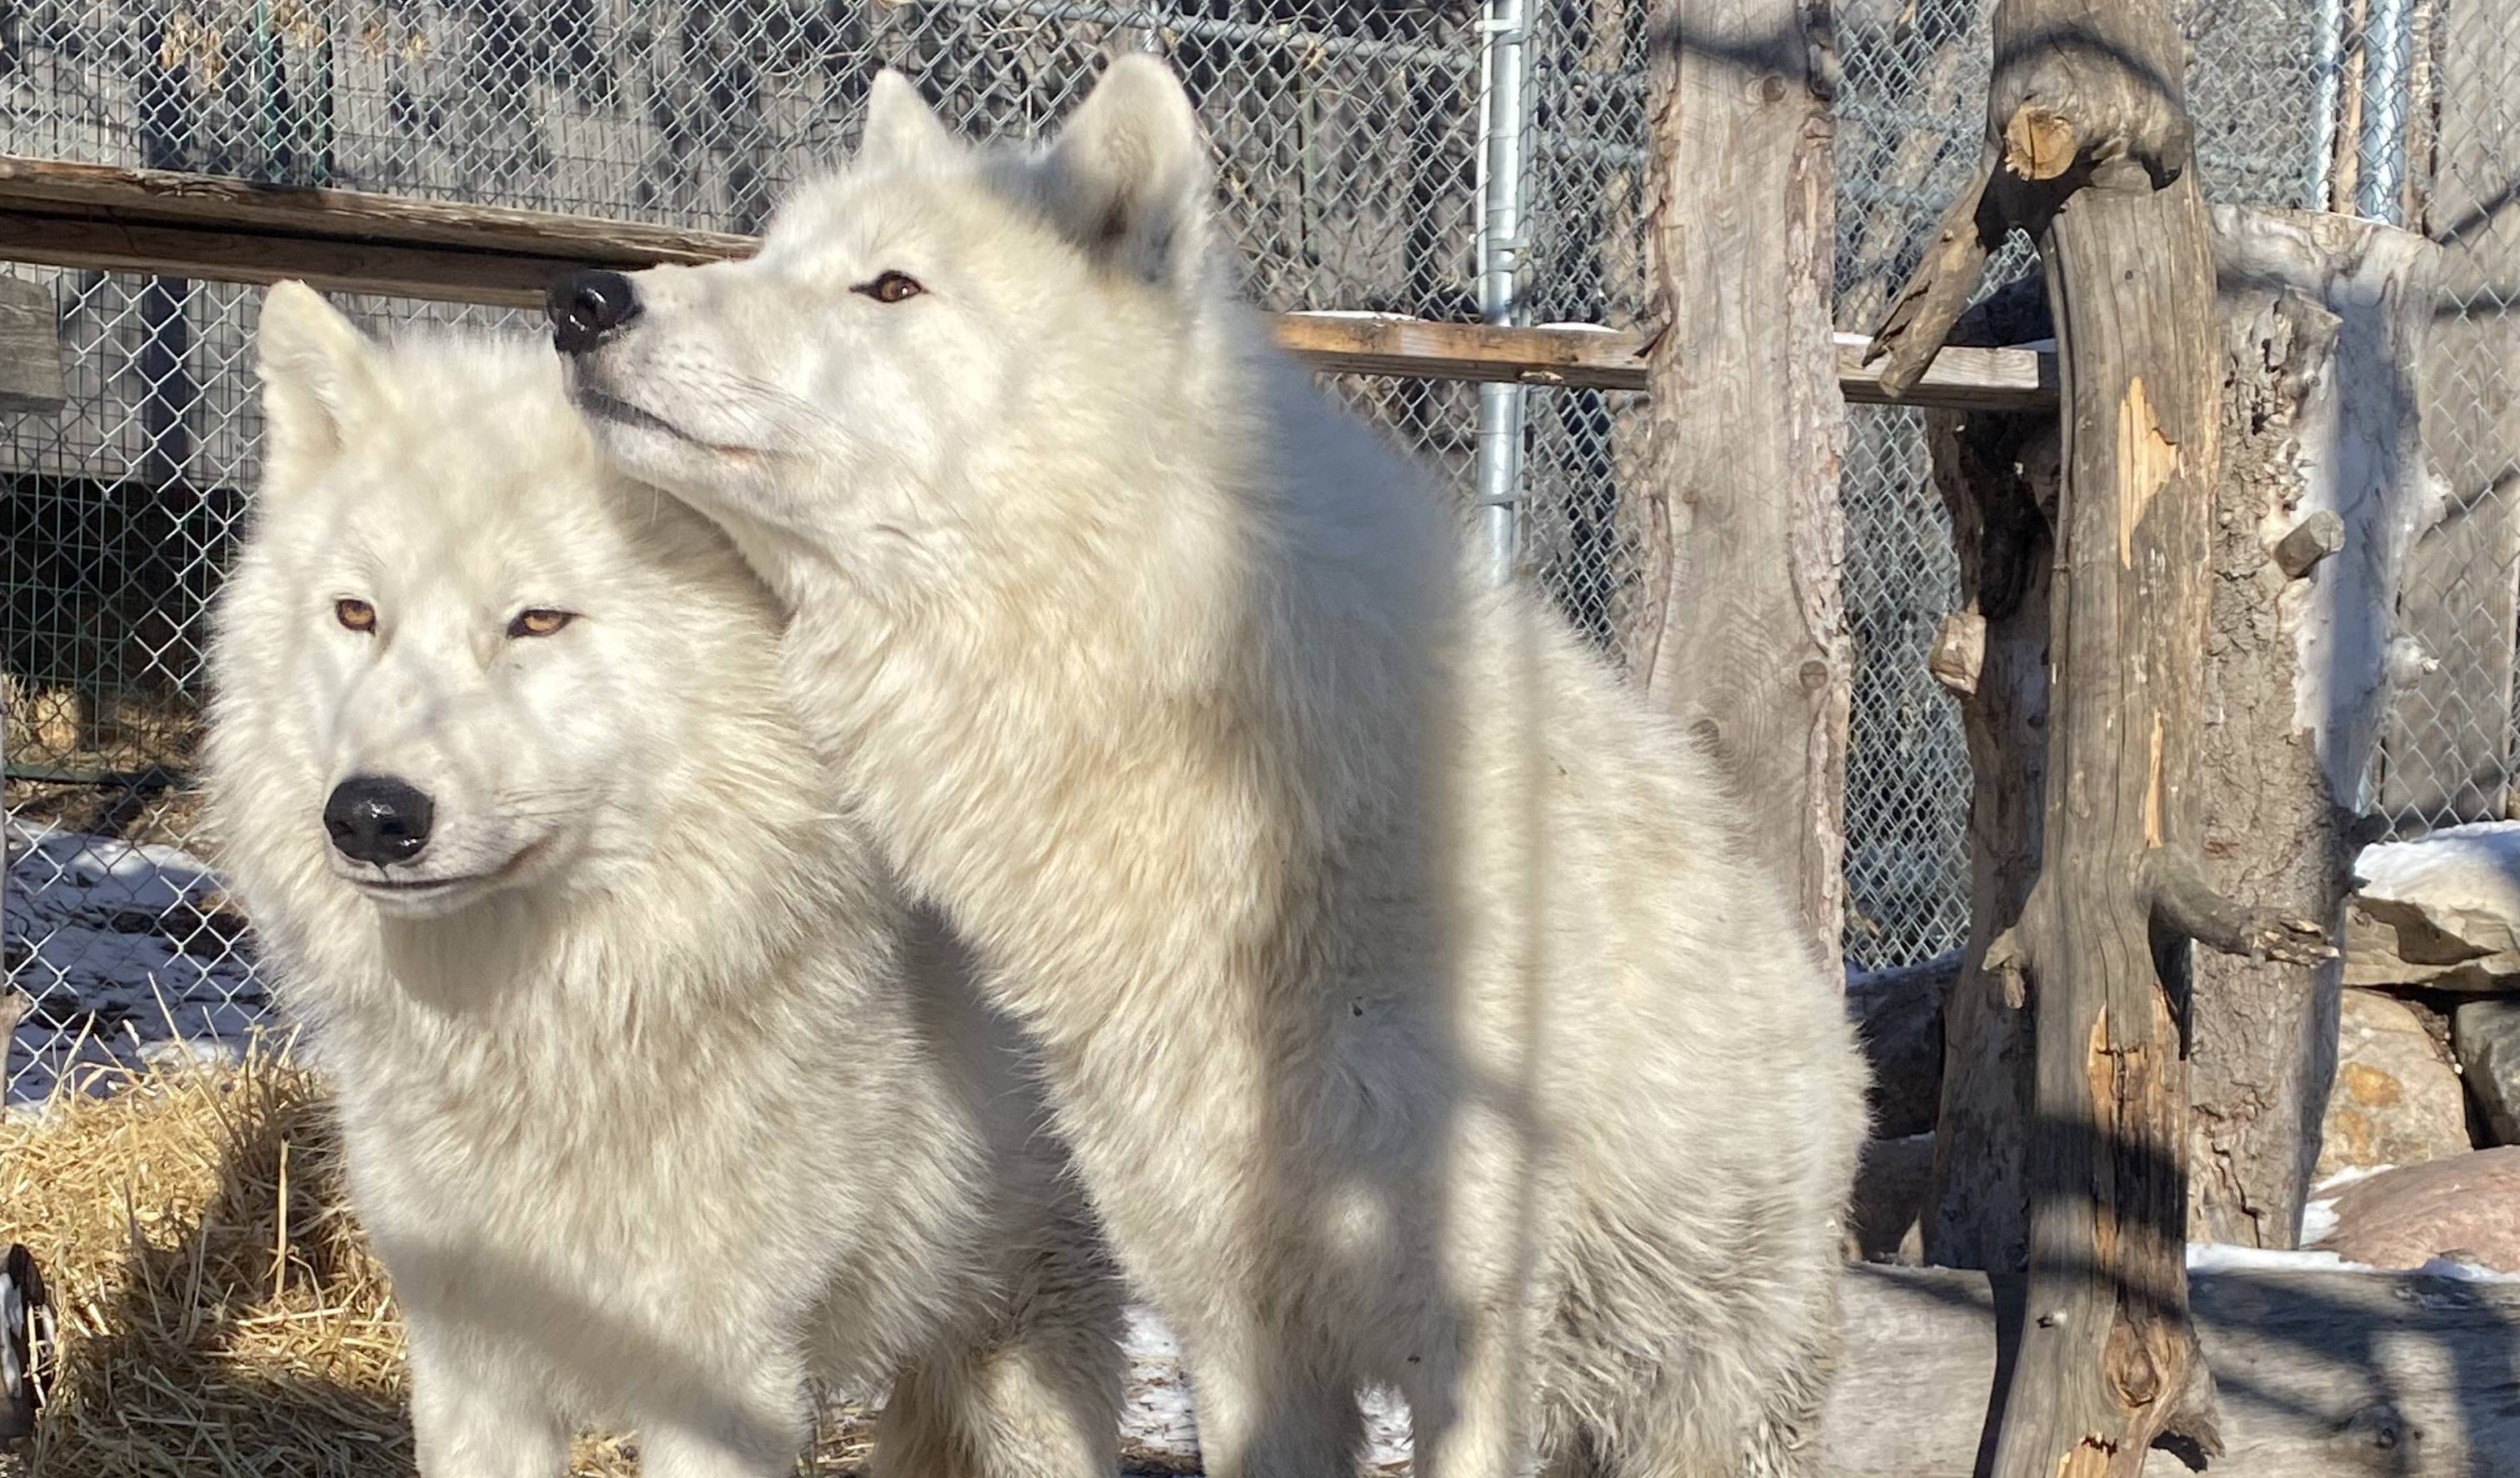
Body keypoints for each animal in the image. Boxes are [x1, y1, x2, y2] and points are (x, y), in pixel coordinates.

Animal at [199, 285, 1124, 1478]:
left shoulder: (726, 1379)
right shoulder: (469, 1362)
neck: (554, 1042)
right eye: (358, 615)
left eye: (538, 620)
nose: (370, 815)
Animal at [553, 57, 1870, 1478]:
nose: (582, 300)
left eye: (890, 287)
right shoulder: (1232, 1320)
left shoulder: (1475, 1336)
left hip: (1718, 1400)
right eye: (777, 250)